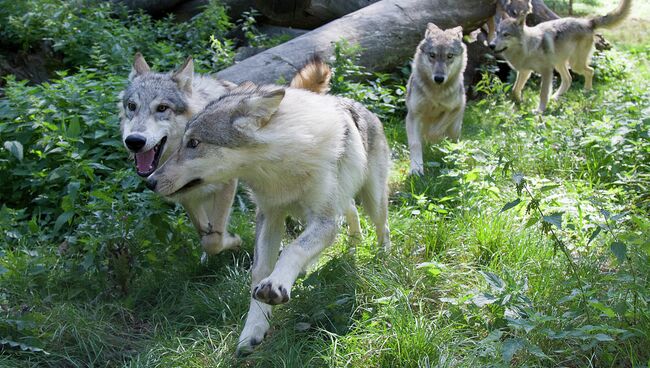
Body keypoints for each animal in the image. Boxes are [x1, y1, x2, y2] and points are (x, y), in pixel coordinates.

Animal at [117, 54, 330, 260]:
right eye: (132, 106)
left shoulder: (227, 184)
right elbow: (204, 233)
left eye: (162, 108)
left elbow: (214, 241)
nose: (134, 141)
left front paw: (233, 240)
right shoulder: (185, 193)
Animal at [146, 82, 390, 354]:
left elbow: (293, 249)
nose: (150, 181)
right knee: (351, 212)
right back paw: (352, 245)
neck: (278, 168)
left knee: (382, 226)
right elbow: (259, 270)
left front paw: (276, 285)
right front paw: (253, 330)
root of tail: (363, 108)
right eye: (182, 143)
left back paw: (384, 256)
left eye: (194, 143)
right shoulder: (270, 215)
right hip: (338, 202)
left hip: (373, 200)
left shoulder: (323, 221)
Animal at [404, 23, 466, 175]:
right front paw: (416, 169)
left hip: (455, 128)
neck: (435, 93)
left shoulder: (456, 108)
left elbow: (436, 131)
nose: (438, 78)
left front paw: (434, 140)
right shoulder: (413, 115)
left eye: (449, 56)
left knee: (454, 140)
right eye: (432, 55)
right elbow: (415, 143)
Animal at [488, 0, 632, 113]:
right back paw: (555, 97)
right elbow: (514, 89)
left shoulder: (546, 71)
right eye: (497, 33)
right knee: (568, 79)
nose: (491, 45)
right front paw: (519, 103)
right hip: (560, 65)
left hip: (574, 65)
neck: (528, 47)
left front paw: (539, 111)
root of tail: (587, 22)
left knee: (590, 71)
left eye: (506, 35)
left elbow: (543, 94)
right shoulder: (524, 72)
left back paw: (586, 91)